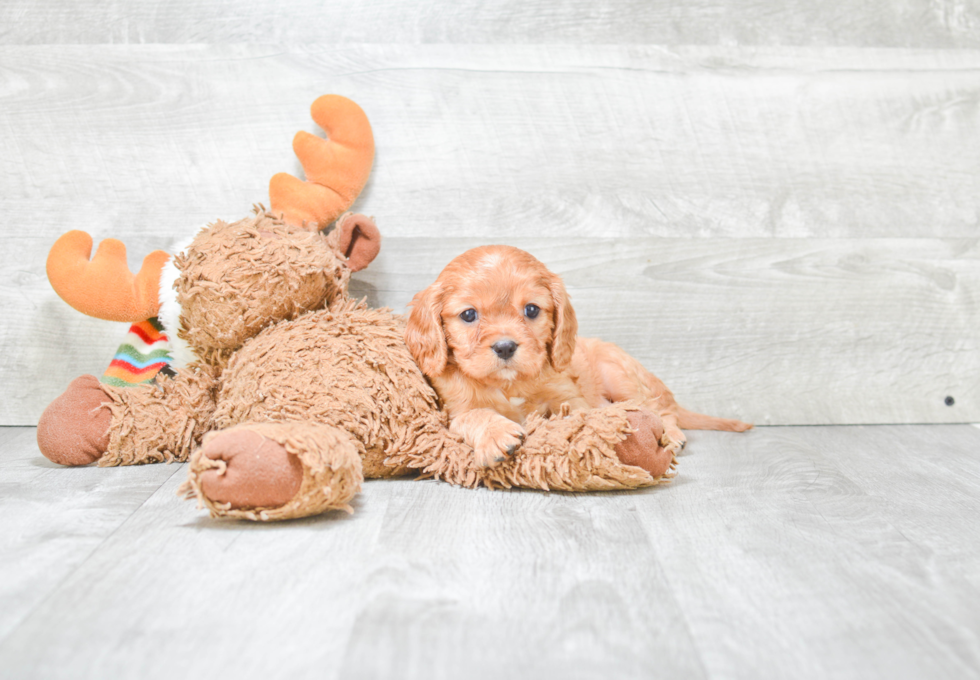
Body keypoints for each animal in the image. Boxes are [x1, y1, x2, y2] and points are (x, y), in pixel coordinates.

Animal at [406, 246, 752, 468]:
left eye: (531, 310)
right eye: (468, 315)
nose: (505, 347)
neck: (510, 384)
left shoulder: (567, 396)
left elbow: (577, 414)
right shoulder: (455, 410)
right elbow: (475, 415)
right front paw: (497, 435)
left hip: (619, 374)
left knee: (656, 409)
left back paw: (672, 432)